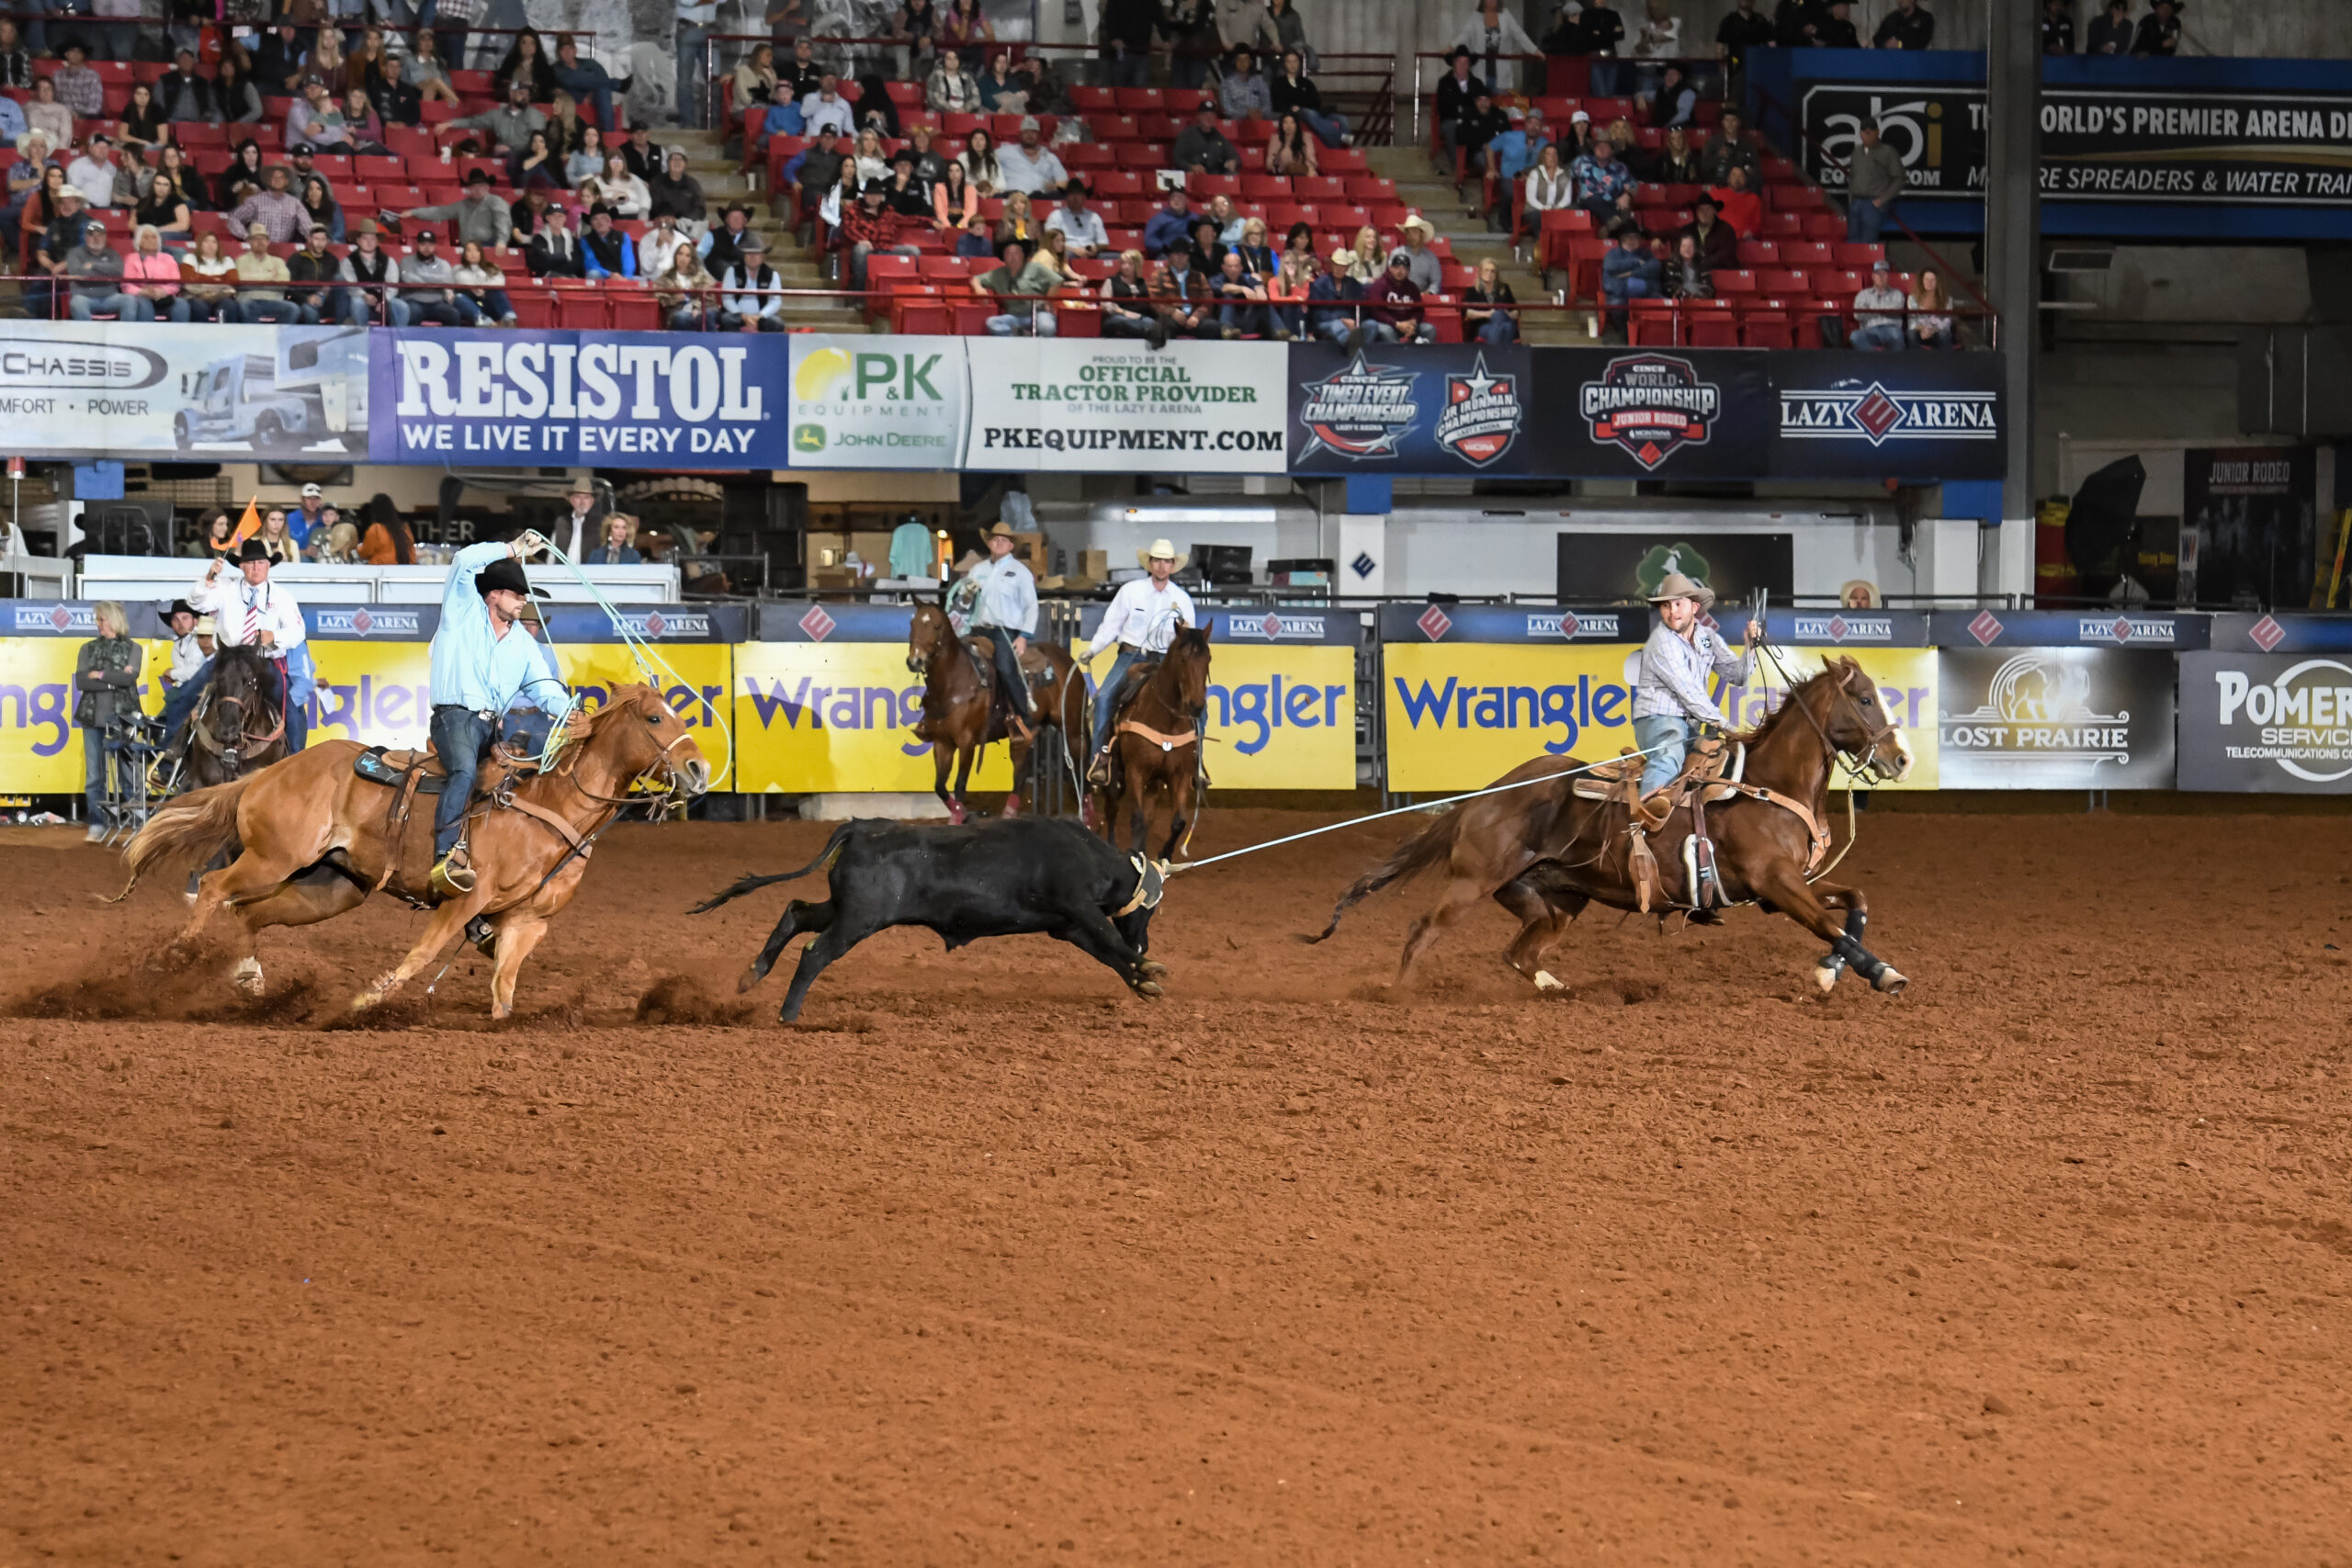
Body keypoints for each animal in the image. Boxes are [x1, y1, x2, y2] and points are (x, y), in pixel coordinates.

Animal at [117, 686, 706, 1020]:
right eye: (655, 719)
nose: (698, 769)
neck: (549, 808)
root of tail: (271, 771)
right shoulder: (466, 900)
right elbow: (424, 953)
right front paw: (364, 1002)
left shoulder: (527, 923)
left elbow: (504, 987)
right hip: (273, 859)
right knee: (215, 888)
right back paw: (174, 959)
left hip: (329, 889)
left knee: (247, 912)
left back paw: (251, 982)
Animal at [903, 597, 1086, 827]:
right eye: (912, 624)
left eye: (936, 626)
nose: (915, 661)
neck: (954, 682)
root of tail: (1067, 659)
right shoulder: (942, 742)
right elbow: (940, 787)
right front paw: (963, 814)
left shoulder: (967, 742)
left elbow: (960, 784)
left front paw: (957, 818)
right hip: (1021, 737)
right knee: (1020, 771)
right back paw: (1009, 812)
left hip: (1071, 727)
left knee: (1081, 767)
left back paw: (1087, 816)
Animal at [1317, 658, 1918, 1001]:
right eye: (1865, 699)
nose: (1903, 759)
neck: (1768, 784)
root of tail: (1488, 794)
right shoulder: (1776, 882)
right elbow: (1829, 924)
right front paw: (1880, 973)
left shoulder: (1783, 887)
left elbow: (1855, 902)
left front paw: (1830, 973)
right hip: (1473, 882)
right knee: (1424, 930)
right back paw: (1398, 997)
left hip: (1557, 897)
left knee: (1520, 952)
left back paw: (1558, 990)